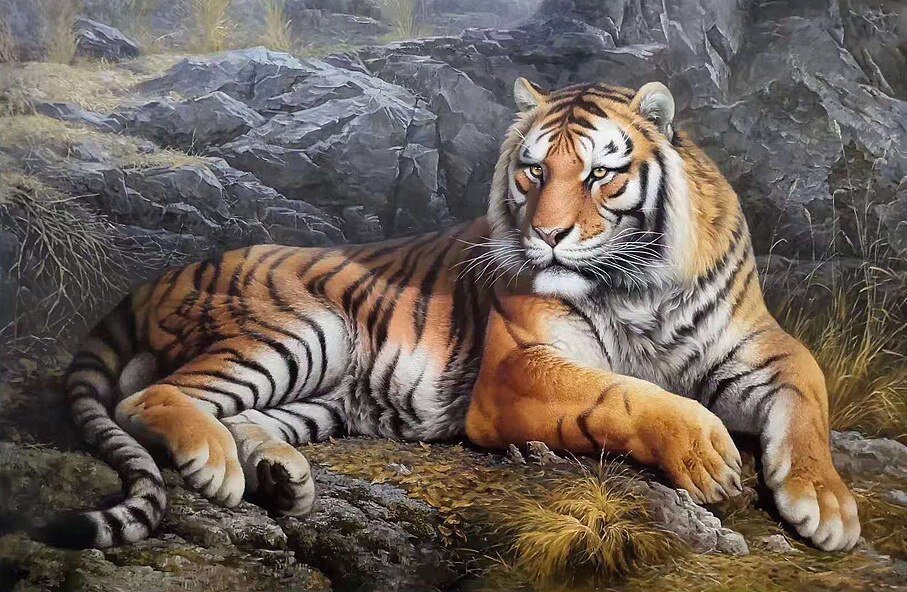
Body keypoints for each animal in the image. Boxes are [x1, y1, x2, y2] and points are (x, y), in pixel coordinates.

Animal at [46, 78, 860, 552]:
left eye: (601, 172)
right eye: (533, 170)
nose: (548, 235)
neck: (634, 286)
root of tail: (154, 279)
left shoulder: (754, 341)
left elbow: (809, 383)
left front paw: (825, 505)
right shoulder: (515, 369)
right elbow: (625, 392)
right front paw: (707, 452)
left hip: (325, 392)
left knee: (238, 415)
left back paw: (282, 476)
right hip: (307, 329)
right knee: (147, 397)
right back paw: (214, 467)